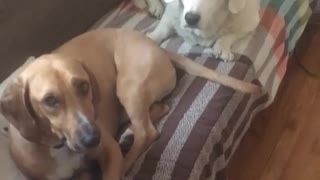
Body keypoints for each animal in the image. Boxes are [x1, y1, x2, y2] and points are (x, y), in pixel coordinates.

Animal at [0, 28, 260, 179]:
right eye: (50, 101)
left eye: (84, 86)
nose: (93, 138)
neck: (59, 147)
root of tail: (157, 46)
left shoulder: (109, 150)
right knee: (156, 112)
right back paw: (128, 131)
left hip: (128, 86)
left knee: (146, 132)